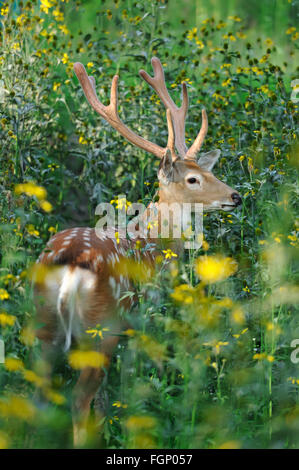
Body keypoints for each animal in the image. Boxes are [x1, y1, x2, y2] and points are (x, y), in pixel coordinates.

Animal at [34, 57, 243, 446]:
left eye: (206, 171)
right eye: (193, 179)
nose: (235, 196)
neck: (151, 241)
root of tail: (69, 265)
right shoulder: (139, 318)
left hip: (44, 323)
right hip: (102, 325)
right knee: (80, 397)